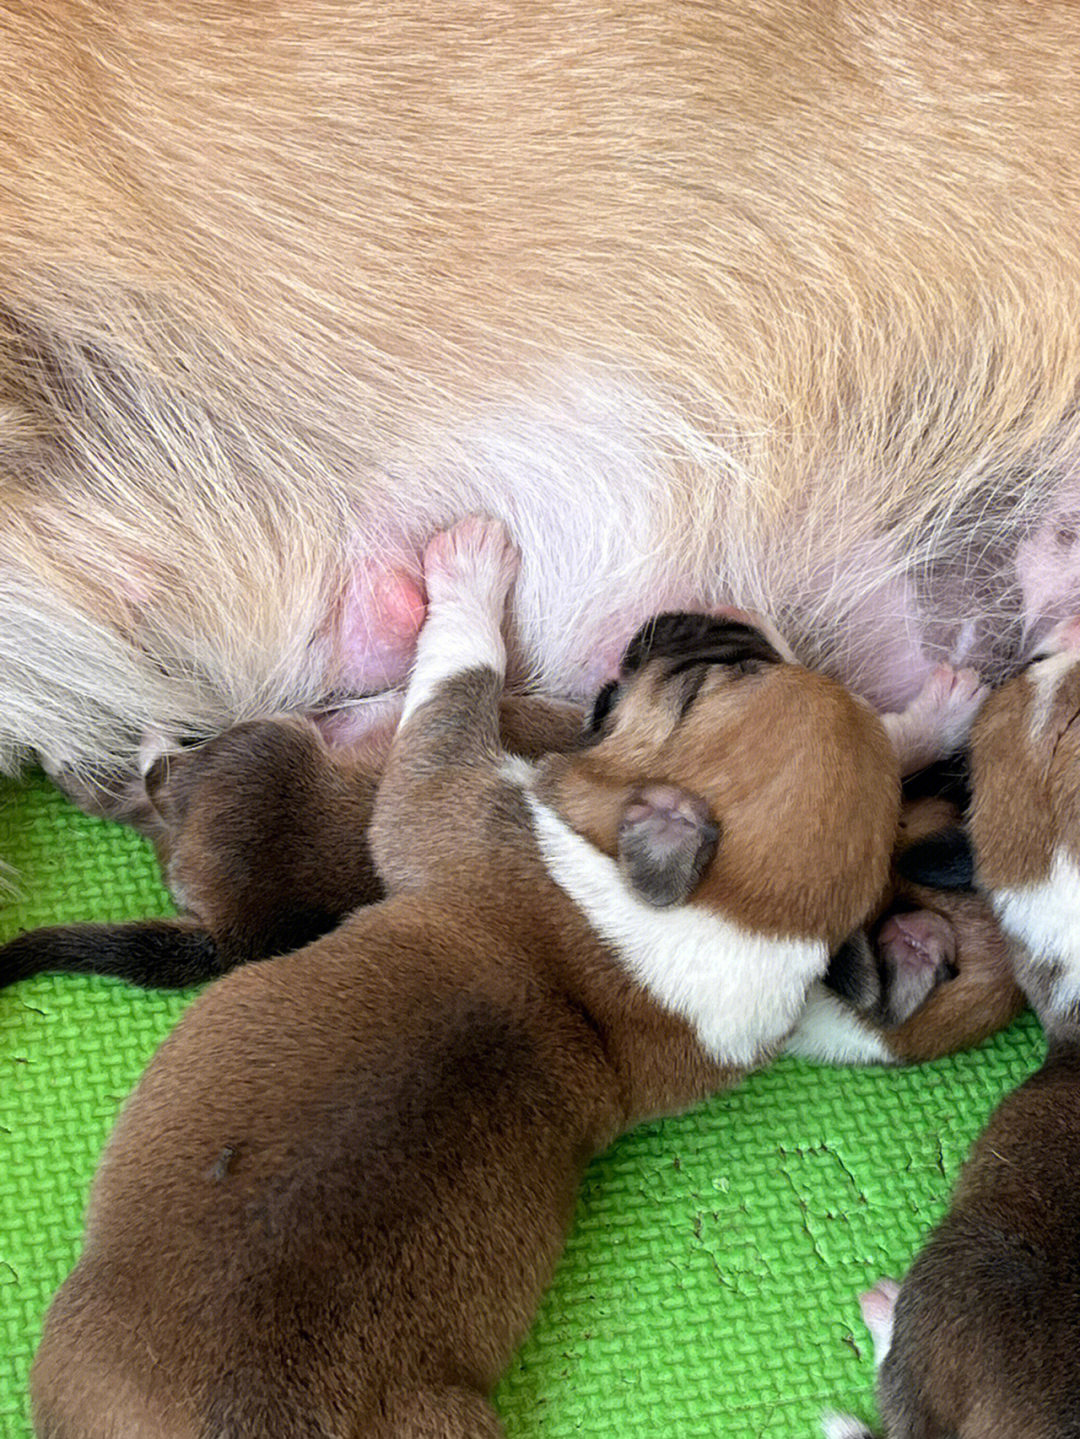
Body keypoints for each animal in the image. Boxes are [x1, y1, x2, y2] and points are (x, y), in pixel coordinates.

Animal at [31, 518, 903, 1439]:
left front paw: (470, 566)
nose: (723, 611)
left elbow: (454, 683)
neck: (733, 918)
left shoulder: (440, 793)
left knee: (168, 784)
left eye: (706, 682)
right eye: (739, 667)